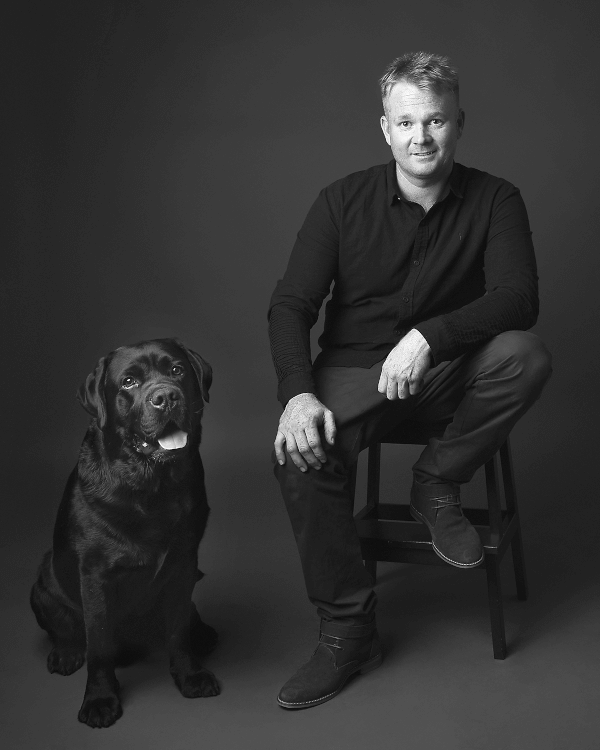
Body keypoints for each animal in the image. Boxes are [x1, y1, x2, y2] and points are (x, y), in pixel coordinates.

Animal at [30, 338, 220, 728]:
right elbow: (99, 646)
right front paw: (100, 699)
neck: (151, 486)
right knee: (67, 630)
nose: (166, 396)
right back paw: (66, 653)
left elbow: (178, 630)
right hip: (42, 583)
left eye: (177, 370)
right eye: (129, 382)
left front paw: (189, 675)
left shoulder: (184, 565)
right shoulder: (95, 576)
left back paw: (203, 633)